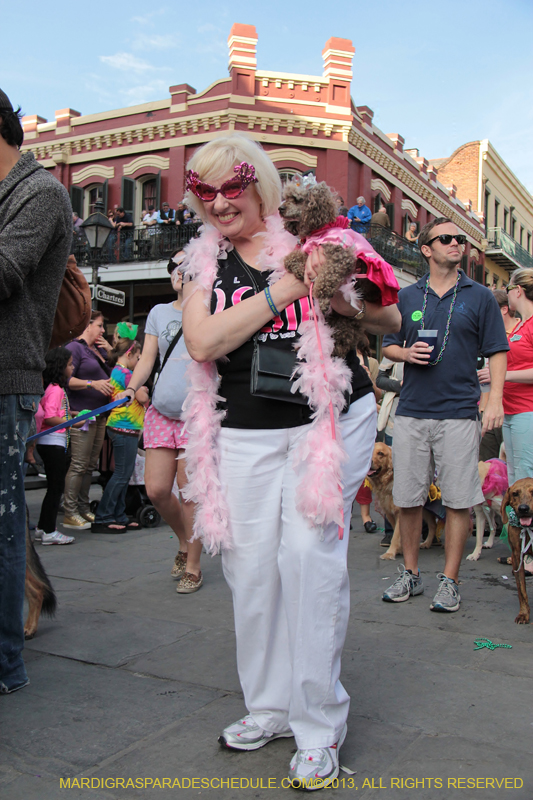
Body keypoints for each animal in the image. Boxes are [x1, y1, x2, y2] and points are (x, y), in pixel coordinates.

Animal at [278, 183, 382, 358]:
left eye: (298, 199)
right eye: (286, 197)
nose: (280, 208)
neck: (318, 230)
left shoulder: (341, 256)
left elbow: (327, 277)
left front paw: (323, 297)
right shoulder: (309, 249)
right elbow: (290, 258)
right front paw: (299, 268)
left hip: (346, 321)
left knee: (342, 344)